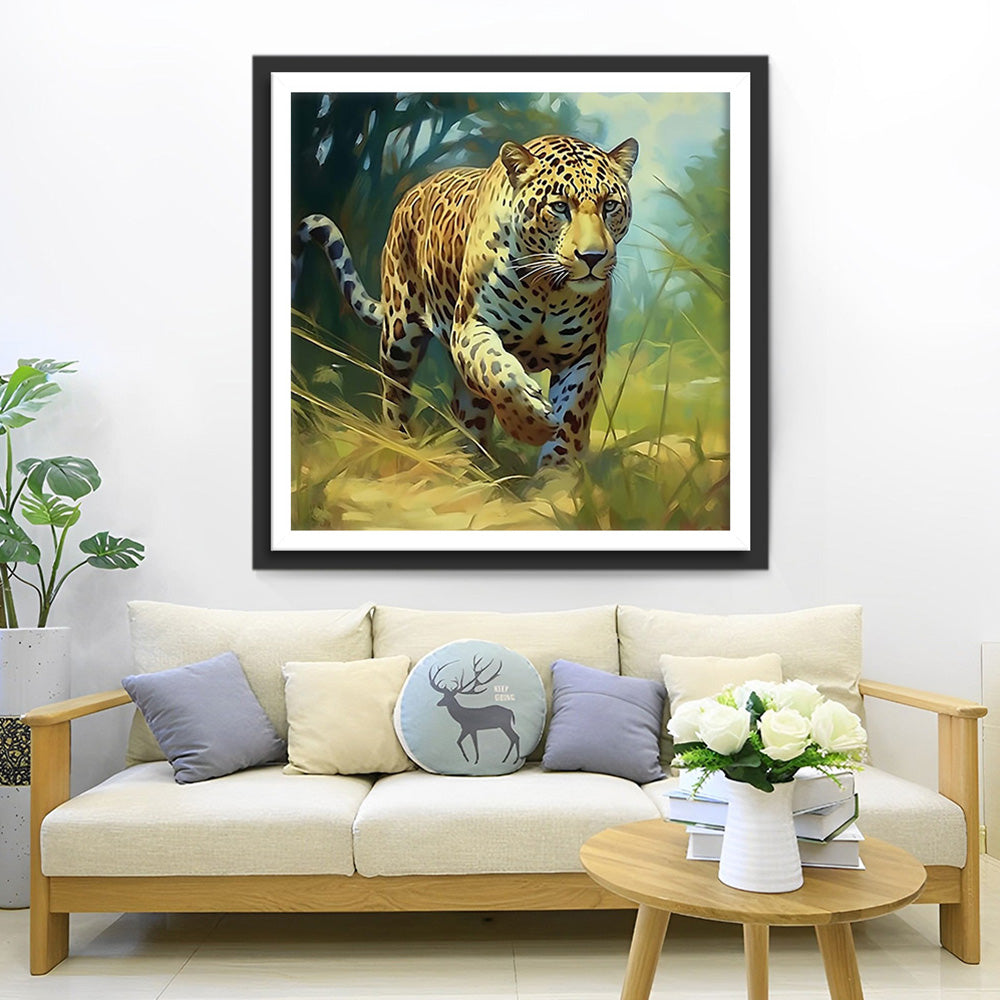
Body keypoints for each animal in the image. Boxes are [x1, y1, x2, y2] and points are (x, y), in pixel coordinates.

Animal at [292, 133, 638, 467]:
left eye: (609, 206)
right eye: (560, 207)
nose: (593, 257)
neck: (546, 289)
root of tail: (413, 191)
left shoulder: (586, 351)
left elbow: (571, 417)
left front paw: (556, 475)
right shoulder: (471, 327)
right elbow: (497, 371)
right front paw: (529, 426)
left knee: (469, 412)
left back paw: (472, 466)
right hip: (399, 334)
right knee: (394, 392)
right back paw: (398, 446)